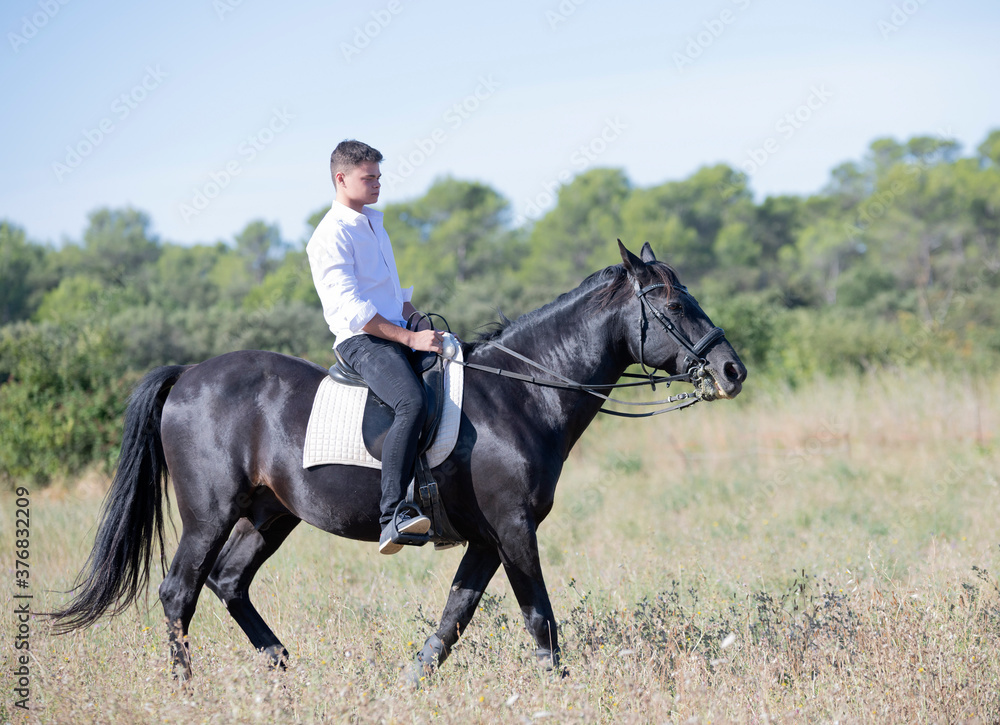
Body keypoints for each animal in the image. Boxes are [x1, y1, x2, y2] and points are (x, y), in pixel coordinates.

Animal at [51, 241, 747, 680]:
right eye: (674, 306)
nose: (731, 370)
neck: (521, 394)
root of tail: (190, 374)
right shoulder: (514, 527)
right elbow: (539, 618)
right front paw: (563, 689)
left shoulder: (488, 538)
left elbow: (455, 616)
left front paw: (412, 682)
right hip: (209, 513)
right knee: (180, 592)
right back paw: (188, 688)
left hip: (270, 514)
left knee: (228, 582)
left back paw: (284, 670)